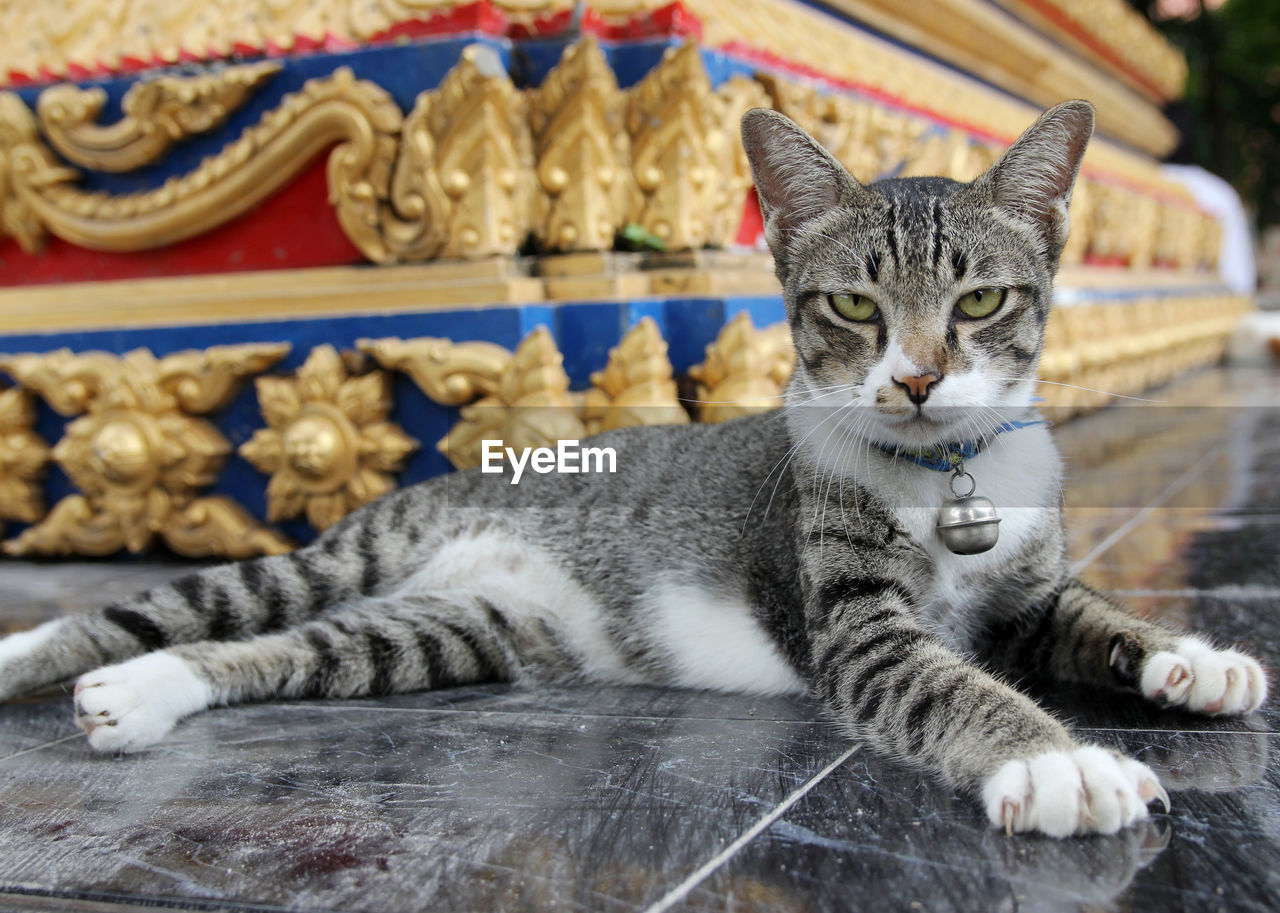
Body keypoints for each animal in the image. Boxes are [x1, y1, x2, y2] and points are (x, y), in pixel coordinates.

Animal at [0, 97, 1264, 834]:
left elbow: (1089, 613)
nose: (913, 380)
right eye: (854, 305)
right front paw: (1057, 766)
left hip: (452, 630)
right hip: (346, 555)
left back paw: (145, 695)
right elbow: (946, 681)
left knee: (269, 651)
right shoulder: (853, 622)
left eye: (981, 302)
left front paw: (1189, 661)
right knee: (171, 609)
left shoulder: (1029, 588)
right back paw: (49, 657)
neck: (942, 473)